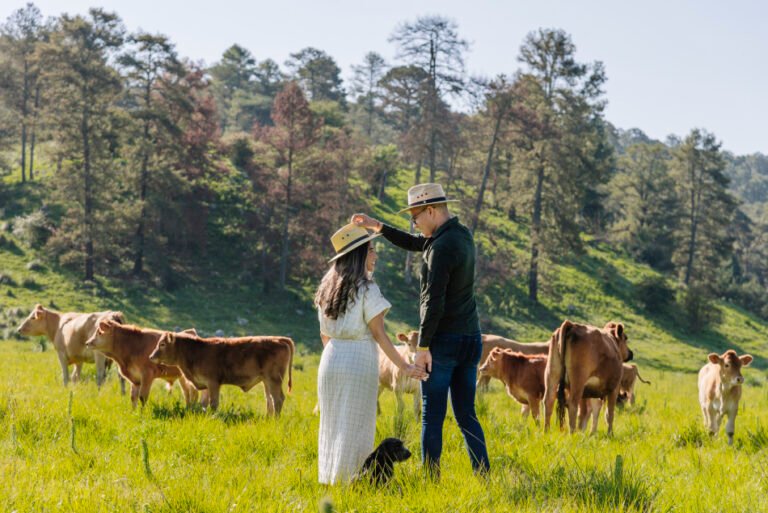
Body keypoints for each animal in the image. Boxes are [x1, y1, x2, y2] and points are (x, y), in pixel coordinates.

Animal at [149, 330, 294, 414]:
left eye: (162, 344)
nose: (151, 357)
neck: (196, 351)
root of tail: (279, 339)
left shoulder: (213, 383)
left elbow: (213, 403)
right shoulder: (206, 385)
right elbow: (203, 404)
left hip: (274, 380)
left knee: (277, 399)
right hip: (266, 381)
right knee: (270, 400)